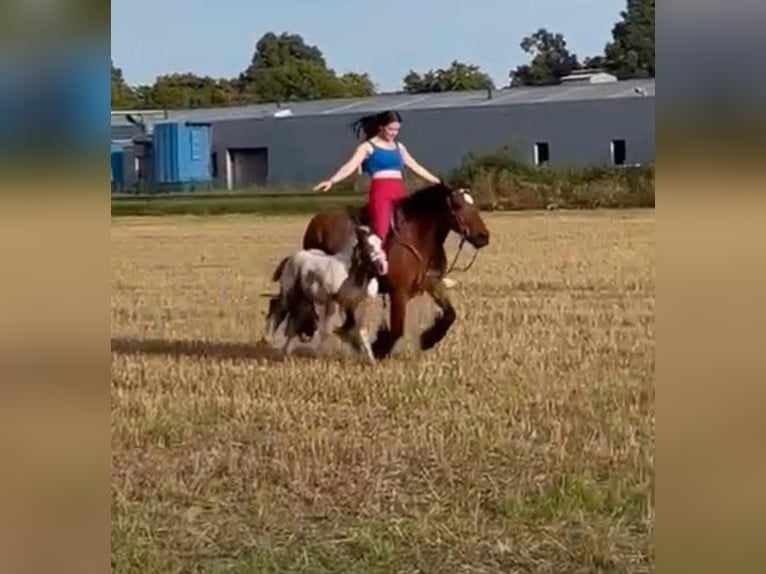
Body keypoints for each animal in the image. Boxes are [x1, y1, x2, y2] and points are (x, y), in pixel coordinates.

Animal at [304, 181, 488, 360]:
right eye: (457, 205)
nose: (483, 236)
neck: (417, 237)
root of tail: (317, 222)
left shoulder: (432, 283)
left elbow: (450, 315)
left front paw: (428, 339)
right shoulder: (399, 293)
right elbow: (397, 329)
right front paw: (380, 347)